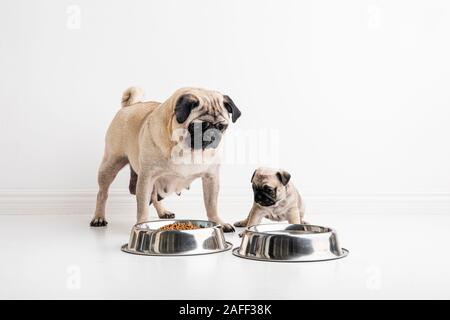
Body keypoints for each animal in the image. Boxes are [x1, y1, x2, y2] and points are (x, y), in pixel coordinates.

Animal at [89, 87, 241, 232]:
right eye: (198, 126)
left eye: (222, 126)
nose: (213, 135)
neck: (187, 150)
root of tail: (131, 105)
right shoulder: (146, 177)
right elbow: (142, 207)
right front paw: (142, 224)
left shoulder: (211, 178)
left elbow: (211, 205)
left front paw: (219, 222)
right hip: (111, 164)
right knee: (102, 193)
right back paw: (99, 217)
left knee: (154, 197)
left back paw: (163, 212)